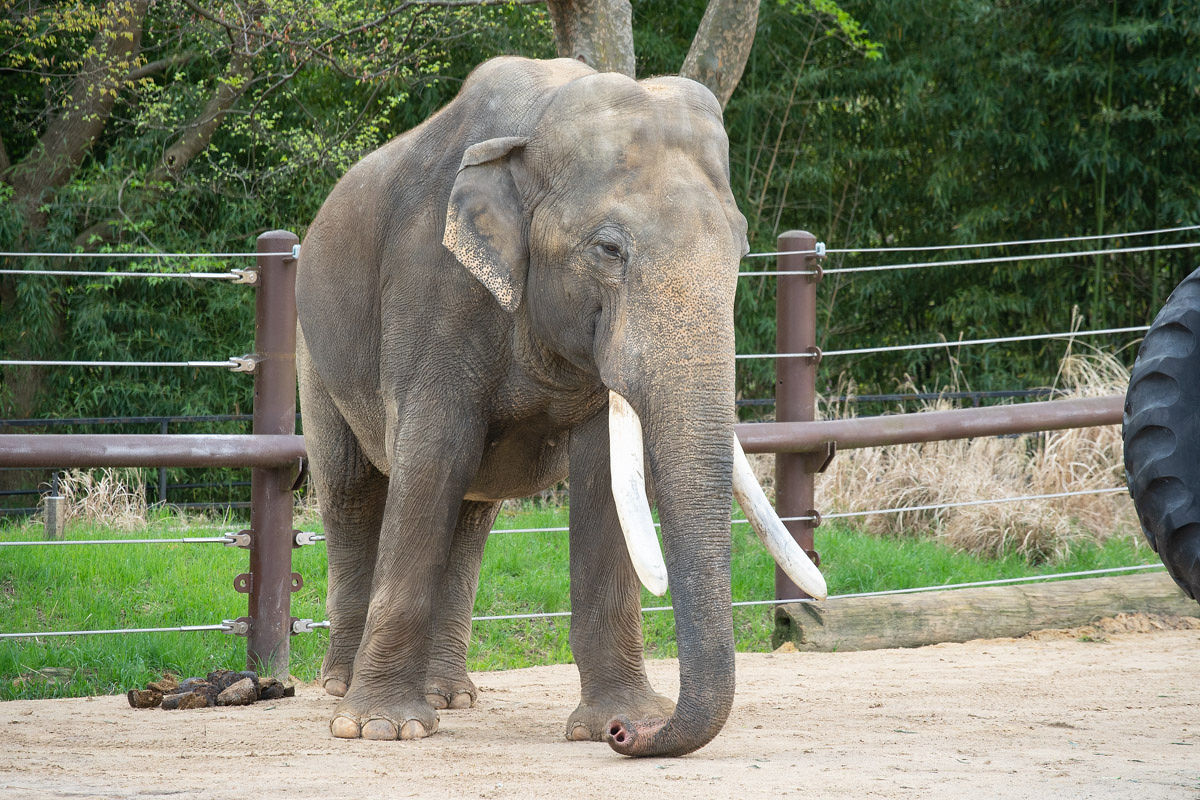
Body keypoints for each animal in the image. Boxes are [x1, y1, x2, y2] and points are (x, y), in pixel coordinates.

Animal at [297, 56, 825, 758]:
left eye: (741, 250)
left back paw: (450, 696)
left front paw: (609, 720)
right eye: (608, 249)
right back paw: (341, 691)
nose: (632, 736)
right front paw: (383, 728)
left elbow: (603, 477)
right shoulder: (432, 288)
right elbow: (432, 455)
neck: (537, 127)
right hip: (314, 348)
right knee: (353, 493)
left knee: (471, 512)